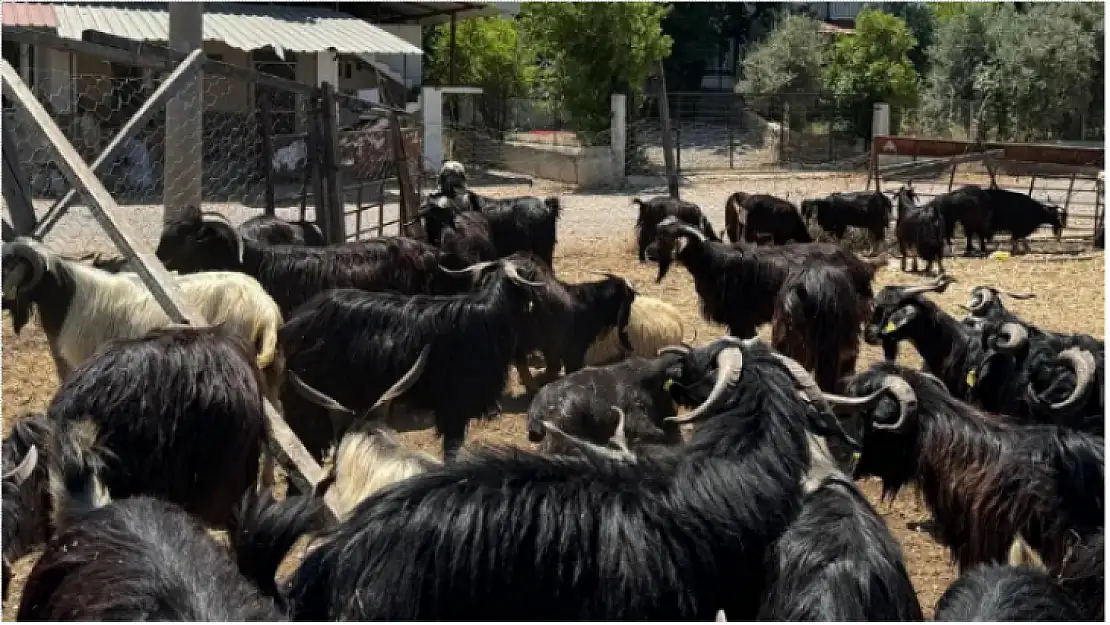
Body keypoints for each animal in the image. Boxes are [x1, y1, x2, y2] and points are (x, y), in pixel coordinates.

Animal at [652, 216, 879, 341]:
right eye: (658, 234)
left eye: (665, 238)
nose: (648, 252)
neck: (711, 261)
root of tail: (861, 265)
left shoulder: (741, 318)